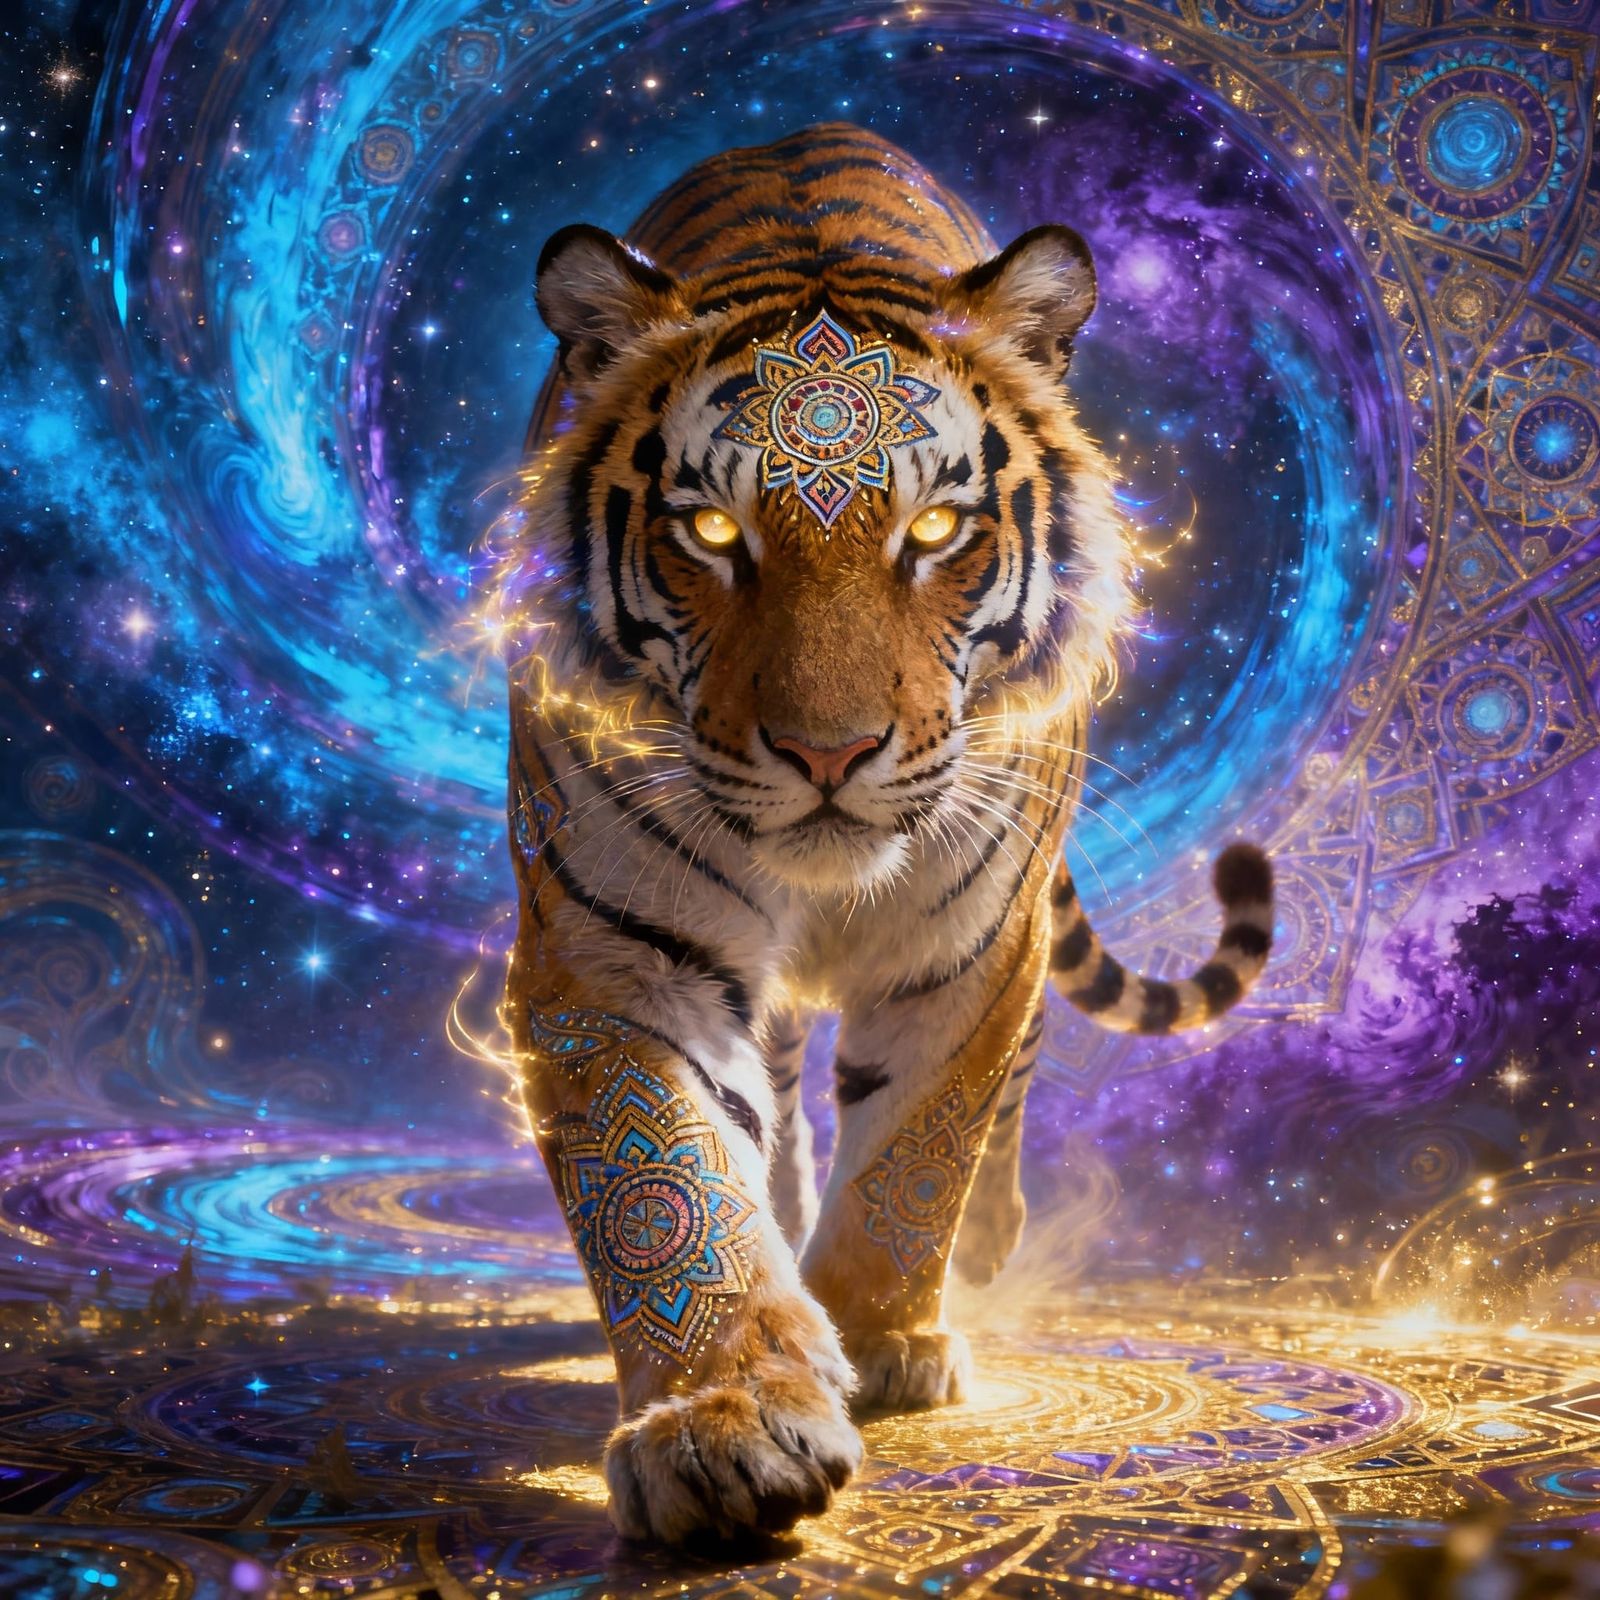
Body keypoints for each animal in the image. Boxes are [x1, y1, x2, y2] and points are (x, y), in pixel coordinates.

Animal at [500, 123, 1274, 1545]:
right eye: (712, 530)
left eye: (933, 530)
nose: (828, 753)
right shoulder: (614, 953)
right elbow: (669, 1187)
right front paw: (725, 1427)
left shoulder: (968, 948)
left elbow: (917, 1157)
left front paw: (880, 1340)